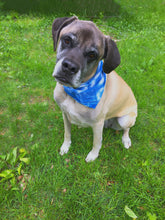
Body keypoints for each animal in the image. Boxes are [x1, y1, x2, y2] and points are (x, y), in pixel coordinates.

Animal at [52, 16, 137, 162]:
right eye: (67, 40)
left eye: (92, 55)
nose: (69, 67)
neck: (77, 91)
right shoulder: (65, 113)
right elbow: (67, 133)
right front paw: (65, 146)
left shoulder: (97, 125)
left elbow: (97, 143)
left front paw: (93, 156)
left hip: (125, 119)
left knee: (127, 129)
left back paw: (126, 140)